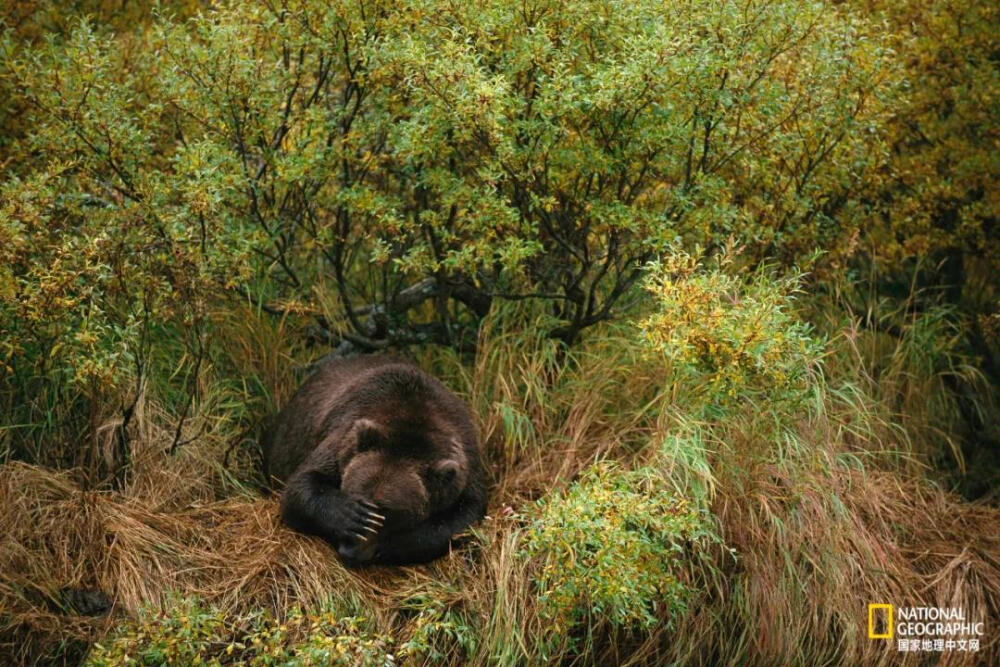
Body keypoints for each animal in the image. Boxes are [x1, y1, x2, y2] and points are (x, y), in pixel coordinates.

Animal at [262, 354, 488, 564]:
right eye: (354, 492)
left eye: (389, 512)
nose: (349, 550)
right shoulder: (345, 435)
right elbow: (301, 485)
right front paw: (351, 515)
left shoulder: (465, 463)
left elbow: (464, 516)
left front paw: (392, 544)